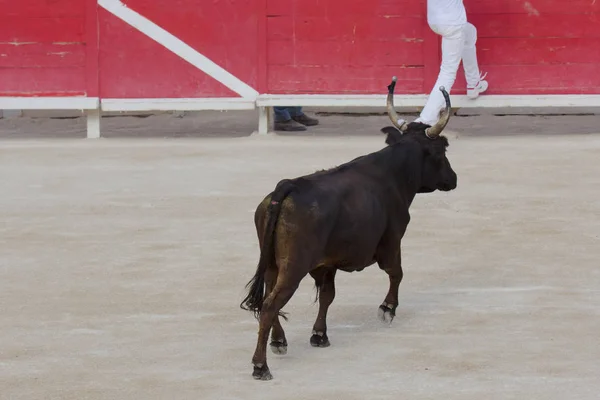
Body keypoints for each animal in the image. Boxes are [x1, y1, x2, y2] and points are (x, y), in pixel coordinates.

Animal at [239, 77, 460, 378]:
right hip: (293, 267)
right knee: (271, 304)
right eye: (442, 150)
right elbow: (396, 272)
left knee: (266, 300)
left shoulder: (327, 263)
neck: (393, 172)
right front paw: (387, 309)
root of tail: (287, 186)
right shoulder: (392, 239)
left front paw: (319, 335)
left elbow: (327, 296)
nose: (454, 179)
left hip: (273, 264)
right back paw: (260, 365)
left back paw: (279, 341)